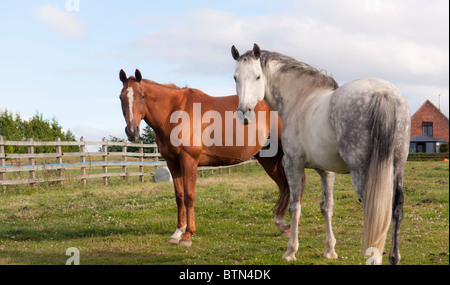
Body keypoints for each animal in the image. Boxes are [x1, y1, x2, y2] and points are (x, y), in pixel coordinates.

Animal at [118, 69, 304, 246]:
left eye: (142, 95)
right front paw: (177, 233)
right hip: (269, 159)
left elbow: (189, 196)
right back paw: (283, 225)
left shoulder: (189, 160)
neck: (175, 111)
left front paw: (187, 235)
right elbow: (179, 197)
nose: (132, 131)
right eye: (121, 97)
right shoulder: (172, 163)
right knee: (285, 185)